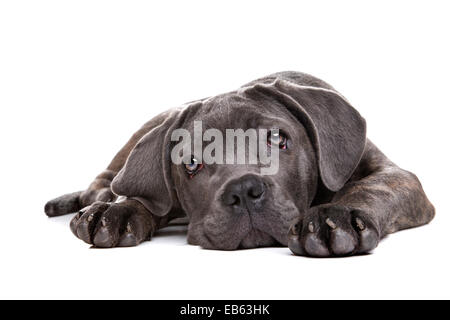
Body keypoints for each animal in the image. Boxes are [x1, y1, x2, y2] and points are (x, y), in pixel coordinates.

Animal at [44, 71, 434, 256]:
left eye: (277, 138)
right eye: (192, 163)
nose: (244, 190)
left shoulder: (396, 176)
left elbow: (373, 188)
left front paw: (332, 218)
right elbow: (147, 197)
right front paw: (120, 212)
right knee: (107, 179)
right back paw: (101, 200)